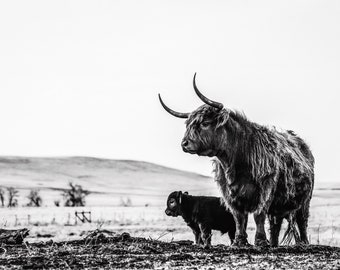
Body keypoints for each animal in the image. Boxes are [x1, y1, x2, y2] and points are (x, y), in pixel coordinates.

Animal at [158, 74, 314, 247]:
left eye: (205, 123)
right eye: (188, 125)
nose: (184, 144)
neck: (236, 159)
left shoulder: (266, 187)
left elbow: (259, 214)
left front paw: (260, 241)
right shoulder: (229, 192)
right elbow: (239, 217)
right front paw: (239, 241)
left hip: (305, 200)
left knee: (302, 220)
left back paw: (303, 242)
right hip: (280, 204)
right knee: (276, 223)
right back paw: (274, 243)